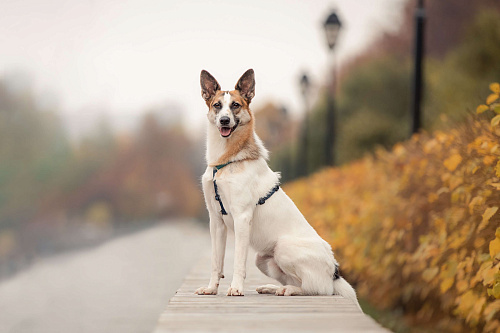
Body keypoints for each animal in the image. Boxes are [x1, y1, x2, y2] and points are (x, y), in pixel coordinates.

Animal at [193, 68, 362, 310]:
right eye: (217, 105)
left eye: (235, 105)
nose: (224, 120)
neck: (226, 162)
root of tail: (334, 272)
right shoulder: (216, 221)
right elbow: (217, 262)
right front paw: (211, 288)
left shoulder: (242, 218)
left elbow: (238, 262)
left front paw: (236, 288)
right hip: (263, 259)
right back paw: (273, 288)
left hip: (284, 247)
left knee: (317, 289)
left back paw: (289, 290)